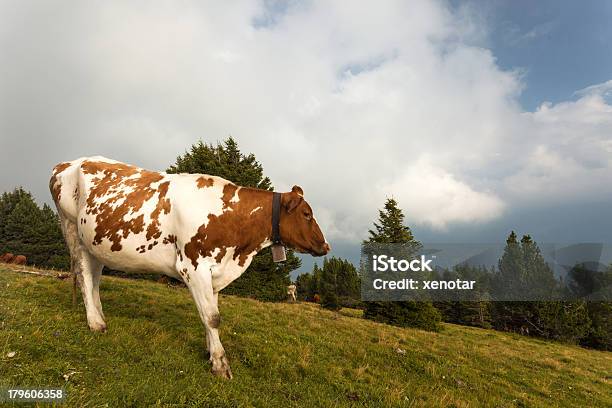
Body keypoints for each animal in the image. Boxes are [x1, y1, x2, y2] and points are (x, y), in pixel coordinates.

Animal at [49, 157, 330, 380]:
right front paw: (220, 365)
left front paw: (209, 351)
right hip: (72, 229)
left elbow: (209, 313)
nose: (325, 245)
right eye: (306, 214)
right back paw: (95, 323)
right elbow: (213, 317)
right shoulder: (193, 266)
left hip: (94, 243)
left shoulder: (215, 270)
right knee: (84, 276)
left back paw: (100, 316)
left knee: (94, 277)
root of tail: (68, 162)